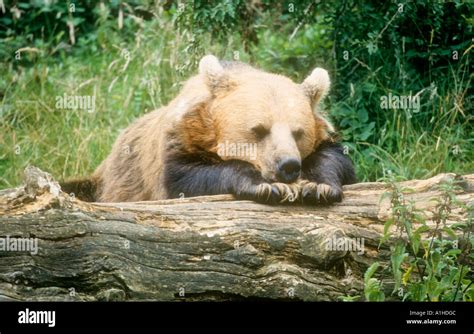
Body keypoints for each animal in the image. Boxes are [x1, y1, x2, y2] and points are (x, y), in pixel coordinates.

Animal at [62, 55, 356, 204]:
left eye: (298, 132)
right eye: (259, 130)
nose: (288, 165)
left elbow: (334, 159)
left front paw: (317, 187)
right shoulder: (181, 139)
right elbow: (184, 177)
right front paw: (264, 186)